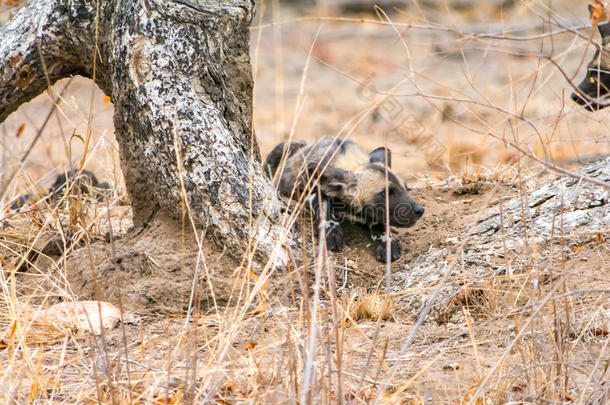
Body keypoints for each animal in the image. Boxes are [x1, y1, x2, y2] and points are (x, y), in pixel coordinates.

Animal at [264, 136, 426, 262]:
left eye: (405, 187)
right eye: (385, 192)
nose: (420, 210)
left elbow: (381, 225)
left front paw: (386, 243)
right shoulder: (308, 193)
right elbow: (323, 204)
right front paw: (332, 230)